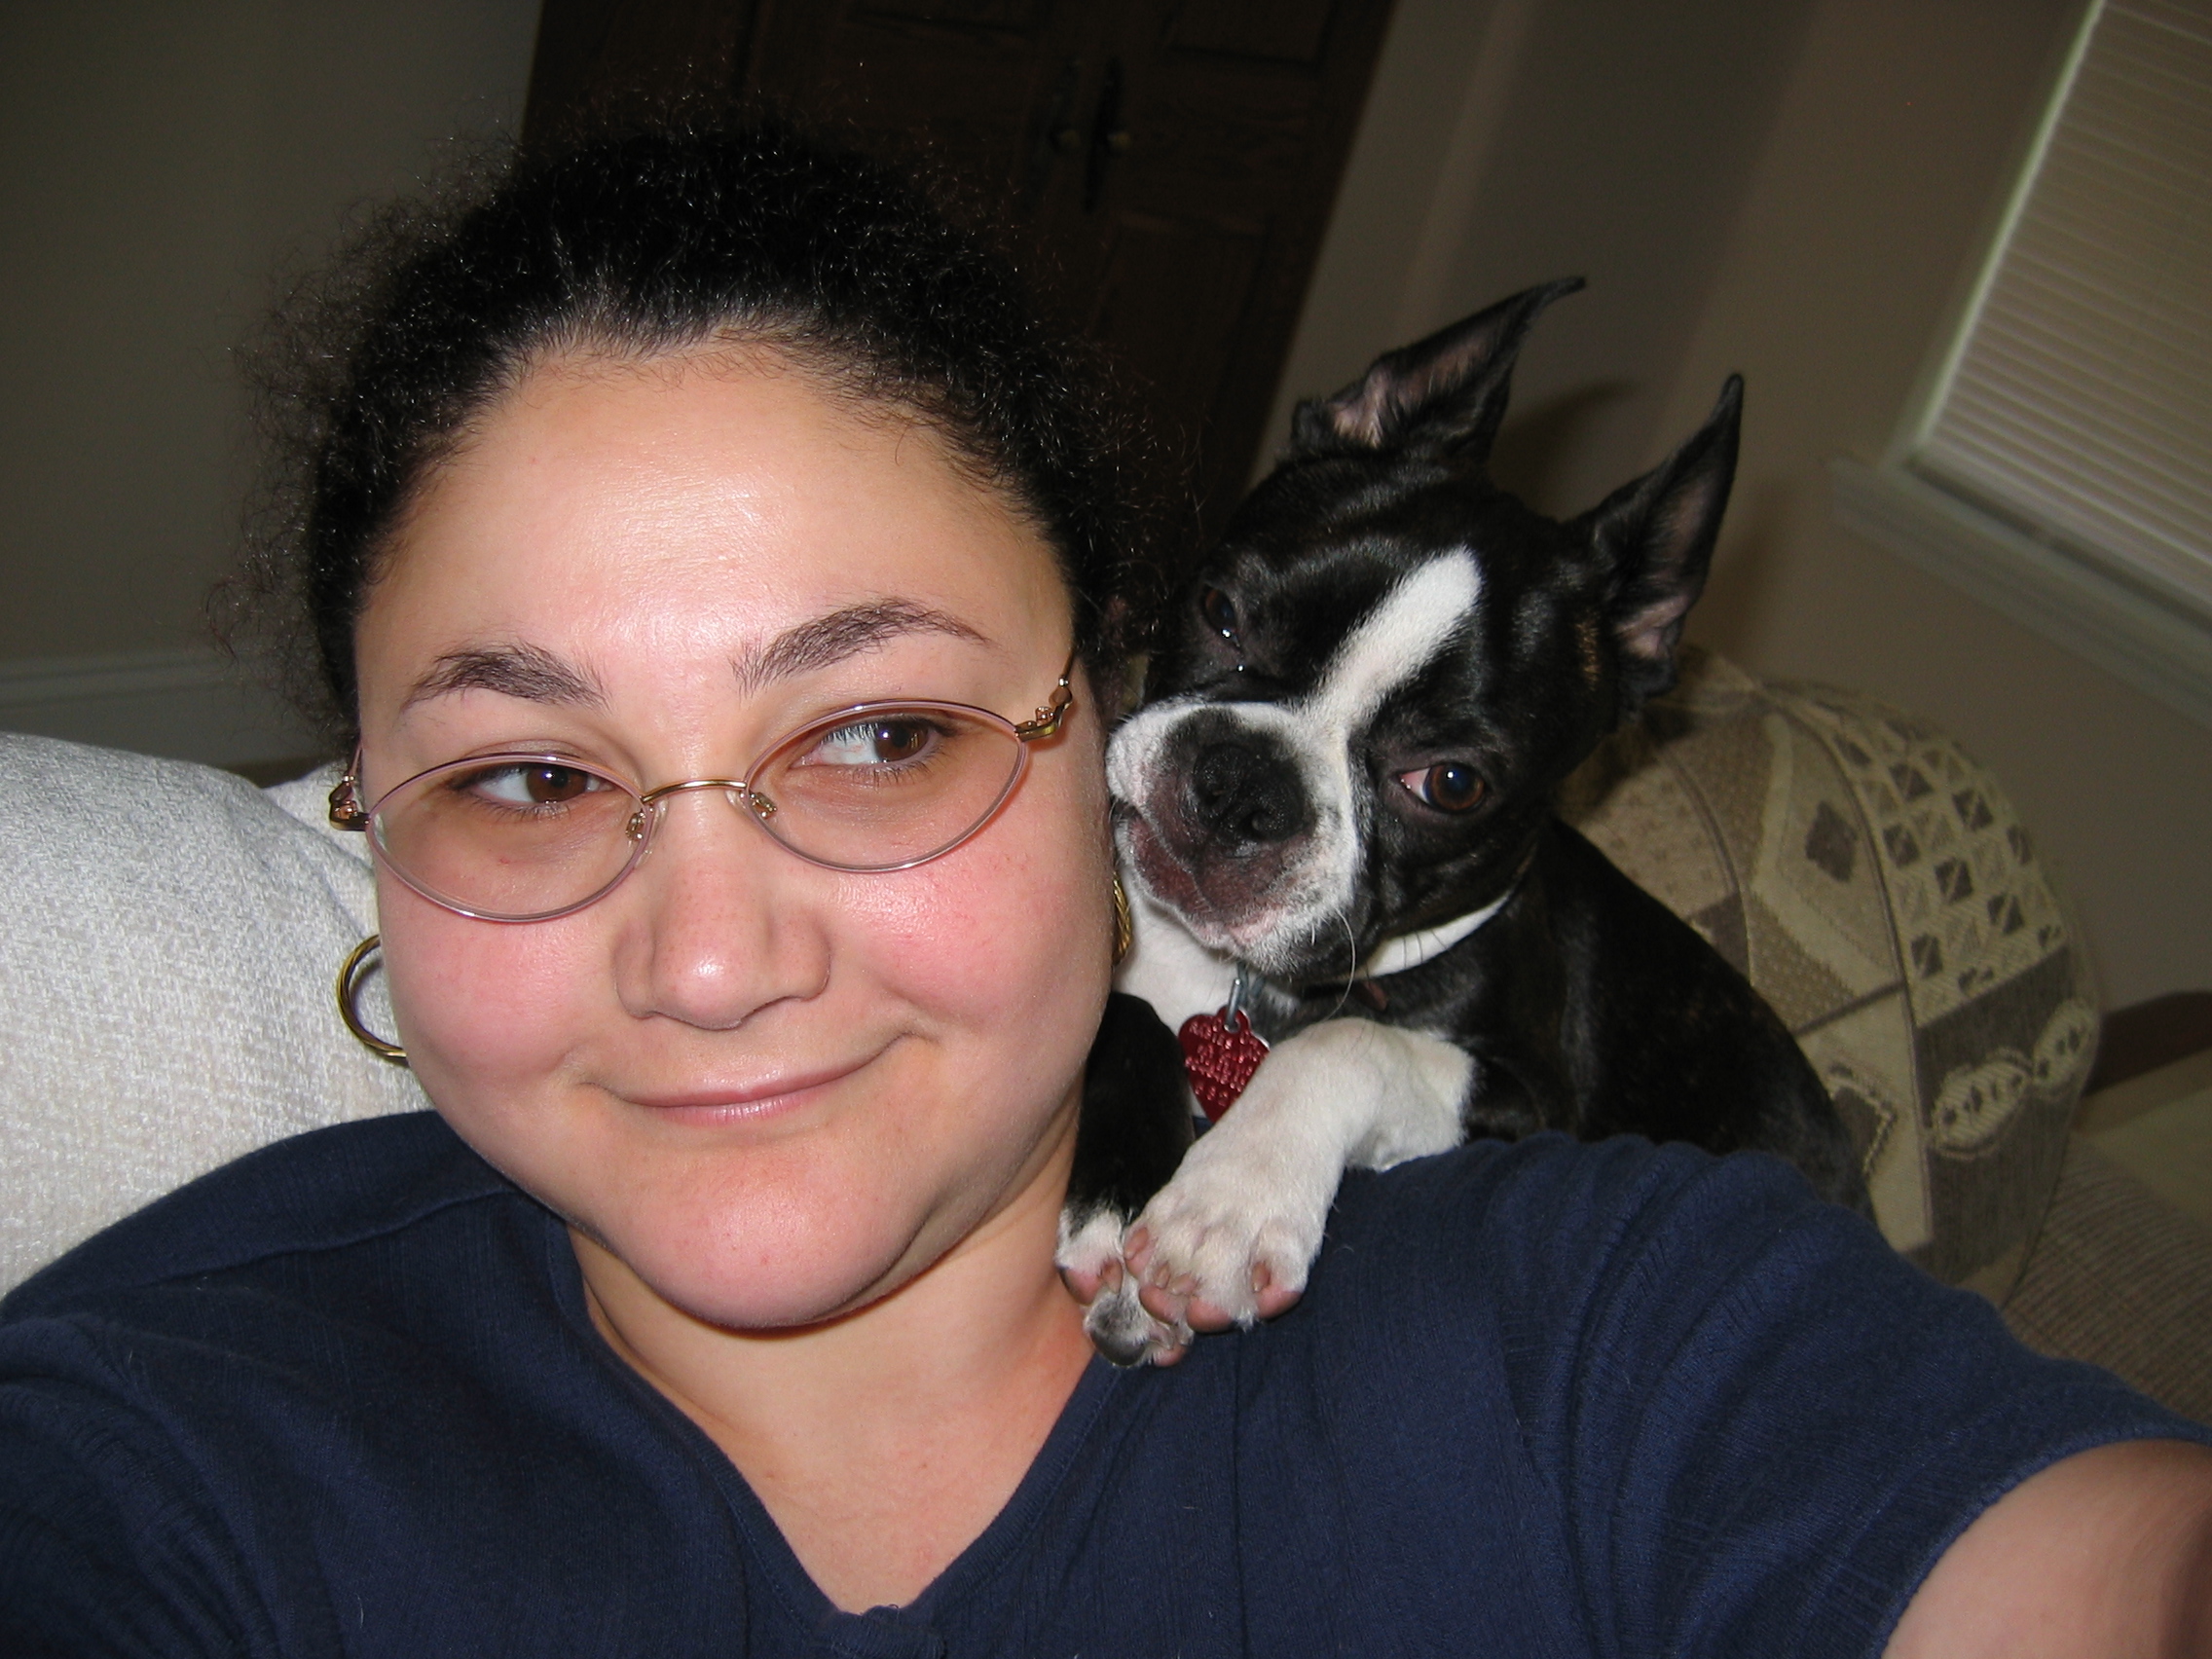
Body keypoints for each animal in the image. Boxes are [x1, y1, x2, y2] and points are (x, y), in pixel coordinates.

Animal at [1060, 280, 1868, 1366]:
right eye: (1220, 609)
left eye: (1449, 783)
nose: (1239, 785)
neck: (1228, 976)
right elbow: (1125, 1012)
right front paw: (1120, 1194)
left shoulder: (1533, 1111)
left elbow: (1348, 1044)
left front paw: (1224, 1205)